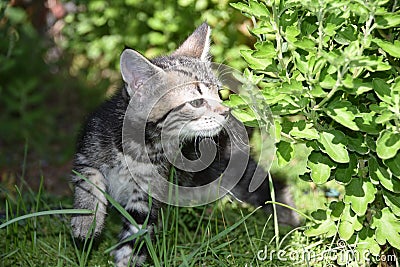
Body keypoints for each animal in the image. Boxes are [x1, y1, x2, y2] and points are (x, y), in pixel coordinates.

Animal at [71, 23, 296, 267]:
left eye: (218, 93)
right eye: (196, 102)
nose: (226, 111)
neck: (141, 147)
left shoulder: (148, 195)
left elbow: (136, 234)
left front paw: (126, 261)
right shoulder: (89, 150)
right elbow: (88, 181)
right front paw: (85, 222)